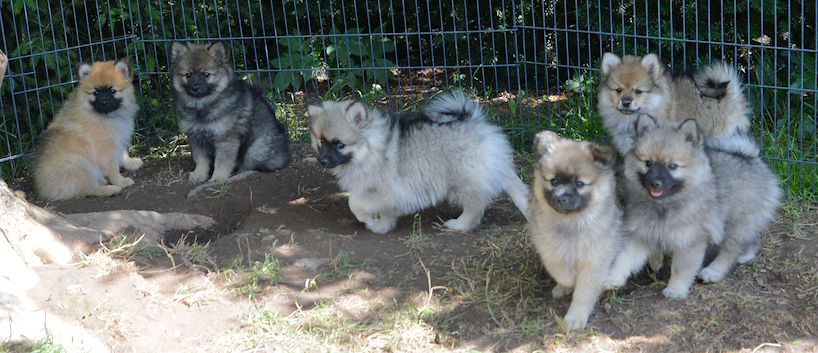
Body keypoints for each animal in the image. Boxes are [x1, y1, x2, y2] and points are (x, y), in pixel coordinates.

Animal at [34, 59, 143, 199]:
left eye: (112, 91)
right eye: (96, 92)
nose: (104, 101)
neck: (106, 117)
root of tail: (43, 189)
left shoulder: (118, 141)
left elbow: (123, 155)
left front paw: (131, 163)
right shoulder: (106, 149)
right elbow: (113, 168)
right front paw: (121, 181)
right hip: (80, 165)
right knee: (89, 189)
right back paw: (110, 189)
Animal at [306, 91, 528, 234]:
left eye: (340, 145)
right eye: (322, 141)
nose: (322, 161)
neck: (369, 148)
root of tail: (475, 121)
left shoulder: (384, 191)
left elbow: (354, 203)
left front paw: (370, 220)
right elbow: (384, 212)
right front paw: (382, 226)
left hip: (462, 181)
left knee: (476, 204)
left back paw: (459, 225)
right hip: (497, 168)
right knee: (515, 187)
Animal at [524, 131, 620, 328]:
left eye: (579, 184)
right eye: (553, 181)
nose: (561, 198)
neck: (571, 222)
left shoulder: (594, 260)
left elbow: (584, 292)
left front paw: (576, 317)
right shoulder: (550, 251)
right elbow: (562, 273)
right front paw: (567, 283)